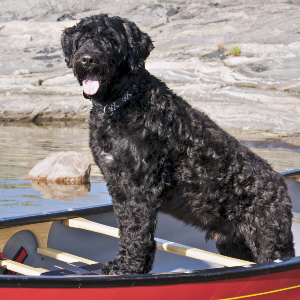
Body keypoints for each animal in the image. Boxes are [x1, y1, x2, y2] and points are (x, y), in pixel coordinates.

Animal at [61, 15, 296, 276]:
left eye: (112, 40)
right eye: (83, 39)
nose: (87, 59)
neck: (120, 105)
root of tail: (281, 186)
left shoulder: (140, 187)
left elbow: (137, 231)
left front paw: (130, 267)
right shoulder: (117, 185)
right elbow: (126, 228)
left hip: (269, 239)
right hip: (235, 244)